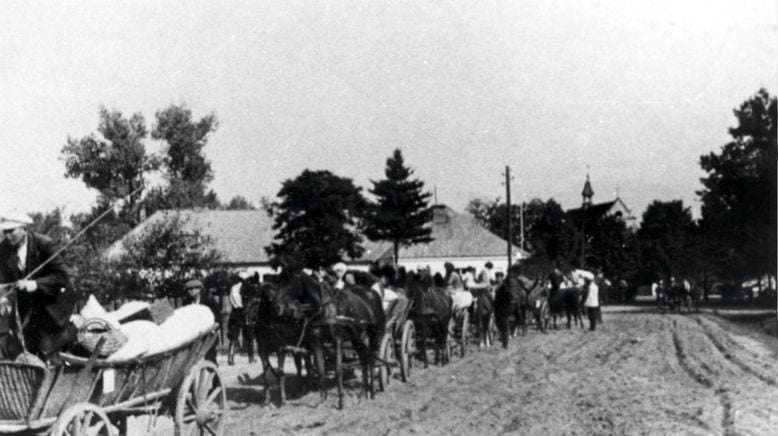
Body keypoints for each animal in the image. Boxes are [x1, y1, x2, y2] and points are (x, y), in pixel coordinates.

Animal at [274, 272, 386, 408]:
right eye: (279, 281)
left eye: (290, 282)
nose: (277, 306)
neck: (323, 308)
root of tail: (372, 293)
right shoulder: (316, 342)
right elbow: (320, 368)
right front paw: (322, 399)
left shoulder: (337, 340)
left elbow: (338, 369)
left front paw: (341, 401)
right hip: (356, 338)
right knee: (364, 359)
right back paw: (362, 394)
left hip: (375, 333)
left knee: (373, 359)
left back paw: (372, 391)